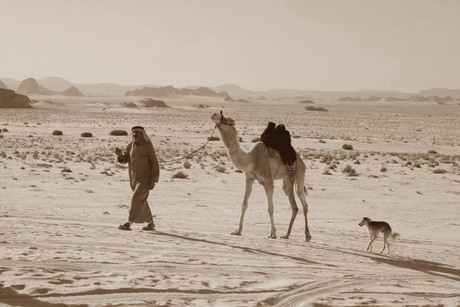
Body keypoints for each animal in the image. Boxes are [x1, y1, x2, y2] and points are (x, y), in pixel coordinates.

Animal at [210, 112, 310, 242]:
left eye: (226, 119)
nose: (214, 115)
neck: (251, 158)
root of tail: (301, 161)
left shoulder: (268, 181)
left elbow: (270, 208)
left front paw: (273, 233)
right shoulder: (249, 178)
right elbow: (244, 204)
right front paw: (237, 231)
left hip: (300, 173)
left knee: (303, 200)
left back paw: (307, 235)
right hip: (288, 179)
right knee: (293, 204)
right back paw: (286, 234)